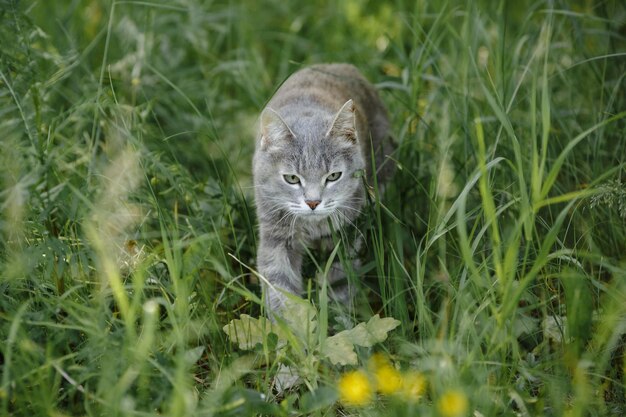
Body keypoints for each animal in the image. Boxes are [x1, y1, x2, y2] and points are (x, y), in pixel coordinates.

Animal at [252, 62, 390, 316]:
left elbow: (339, 283)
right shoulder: (276, 235)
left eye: (333, 176)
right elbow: (279, 287)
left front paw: (338, 318)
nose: (313, 202)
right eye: (292, 178)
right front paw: (288, 325)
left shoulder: (346, 235)